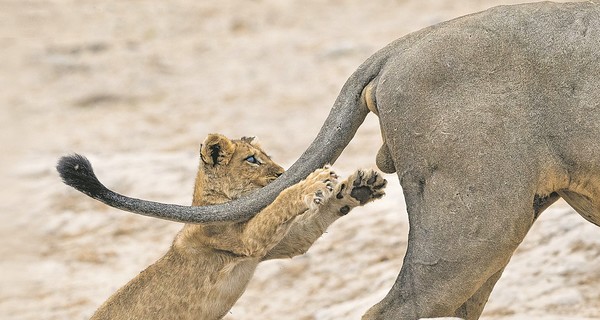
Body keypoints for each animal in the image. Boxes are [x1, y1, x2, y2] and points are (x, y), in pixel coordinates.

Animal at [57, 2, 600, 320]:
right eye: (253, 159)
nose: (279, 173)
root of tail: (401, 46)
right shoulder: (241, 237)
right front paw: (315, 184)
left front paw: (347, 188)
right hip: (477, 220)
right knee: (401, 306)